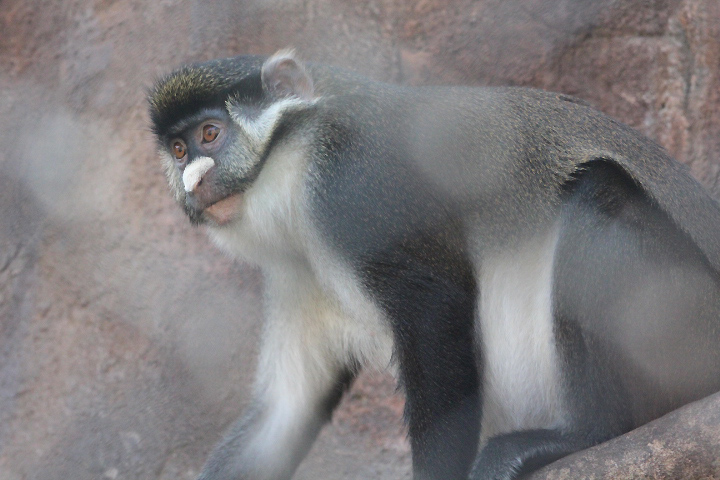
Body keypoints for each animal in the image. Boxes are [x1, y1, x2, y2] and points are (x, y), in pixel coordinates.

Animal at [148, 50, 720, 480]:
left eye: (210, 135)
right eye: (178, 150)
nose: (194, 182)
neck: (299, 149)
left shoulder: (354, 188)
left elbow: (434, 313)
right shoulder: (294, 274)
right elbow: (283, 413)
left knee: (602, 191)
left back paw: (582, 435)